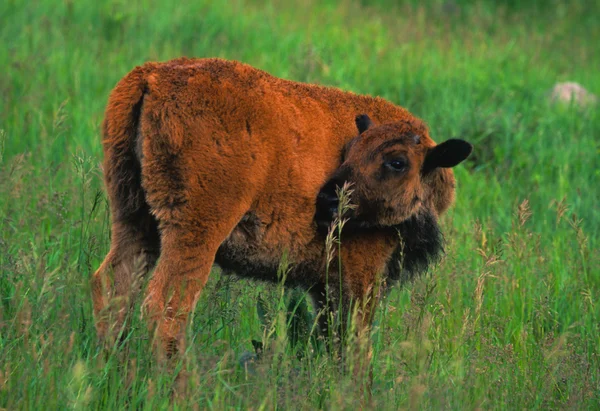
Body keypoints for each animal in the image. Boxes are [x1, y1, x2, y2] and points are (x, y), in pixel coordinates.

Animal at [91, 57, 472, 360]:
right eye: (351, 151)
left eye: (396, 162)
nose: (329, 199)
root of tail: (152, 77)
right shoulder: (360, 277)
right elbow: (354, 349)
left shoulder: (324, 287)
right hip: (195, 231)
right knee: (167, 307)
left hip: (133, 218)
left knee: (112, 286)